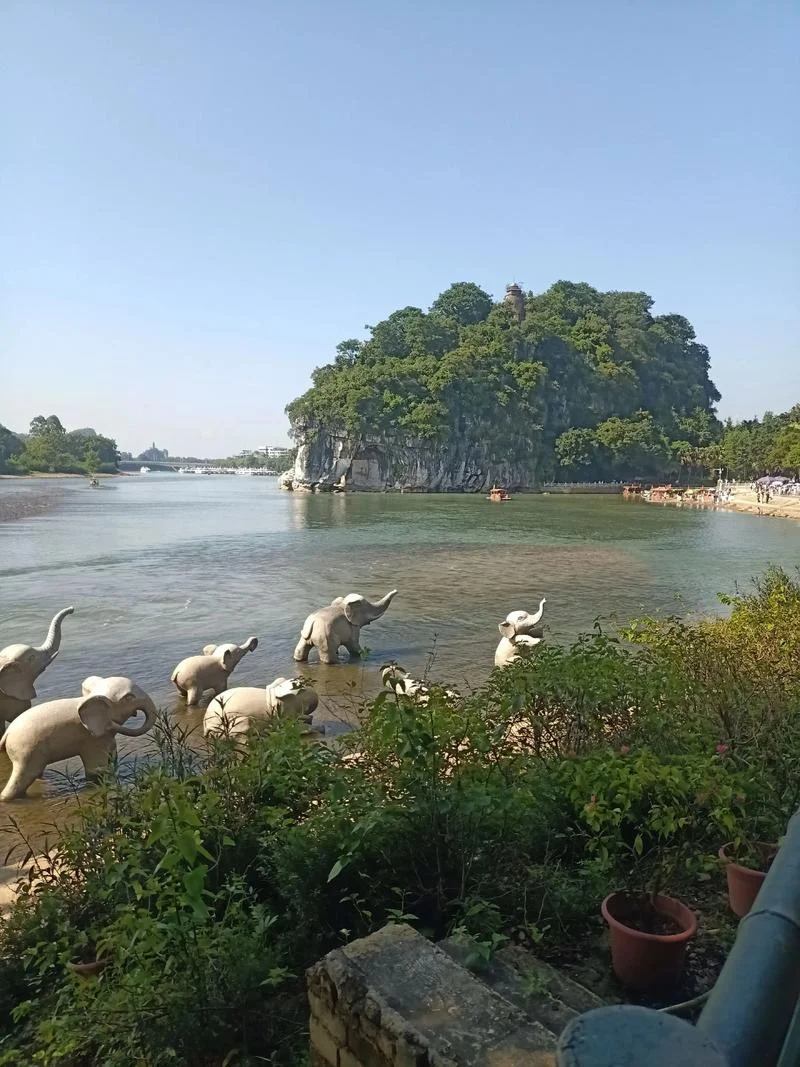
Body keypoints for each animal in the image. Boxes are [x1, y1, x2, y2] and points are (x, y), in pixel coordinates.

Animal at [0, 675, 156, 801]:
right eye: (129, 698)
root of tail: (7, 734)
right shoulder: (91, 740)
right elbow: (96, 769)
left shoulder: (103, 735)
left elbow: (112, 756)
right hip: (26, 752)